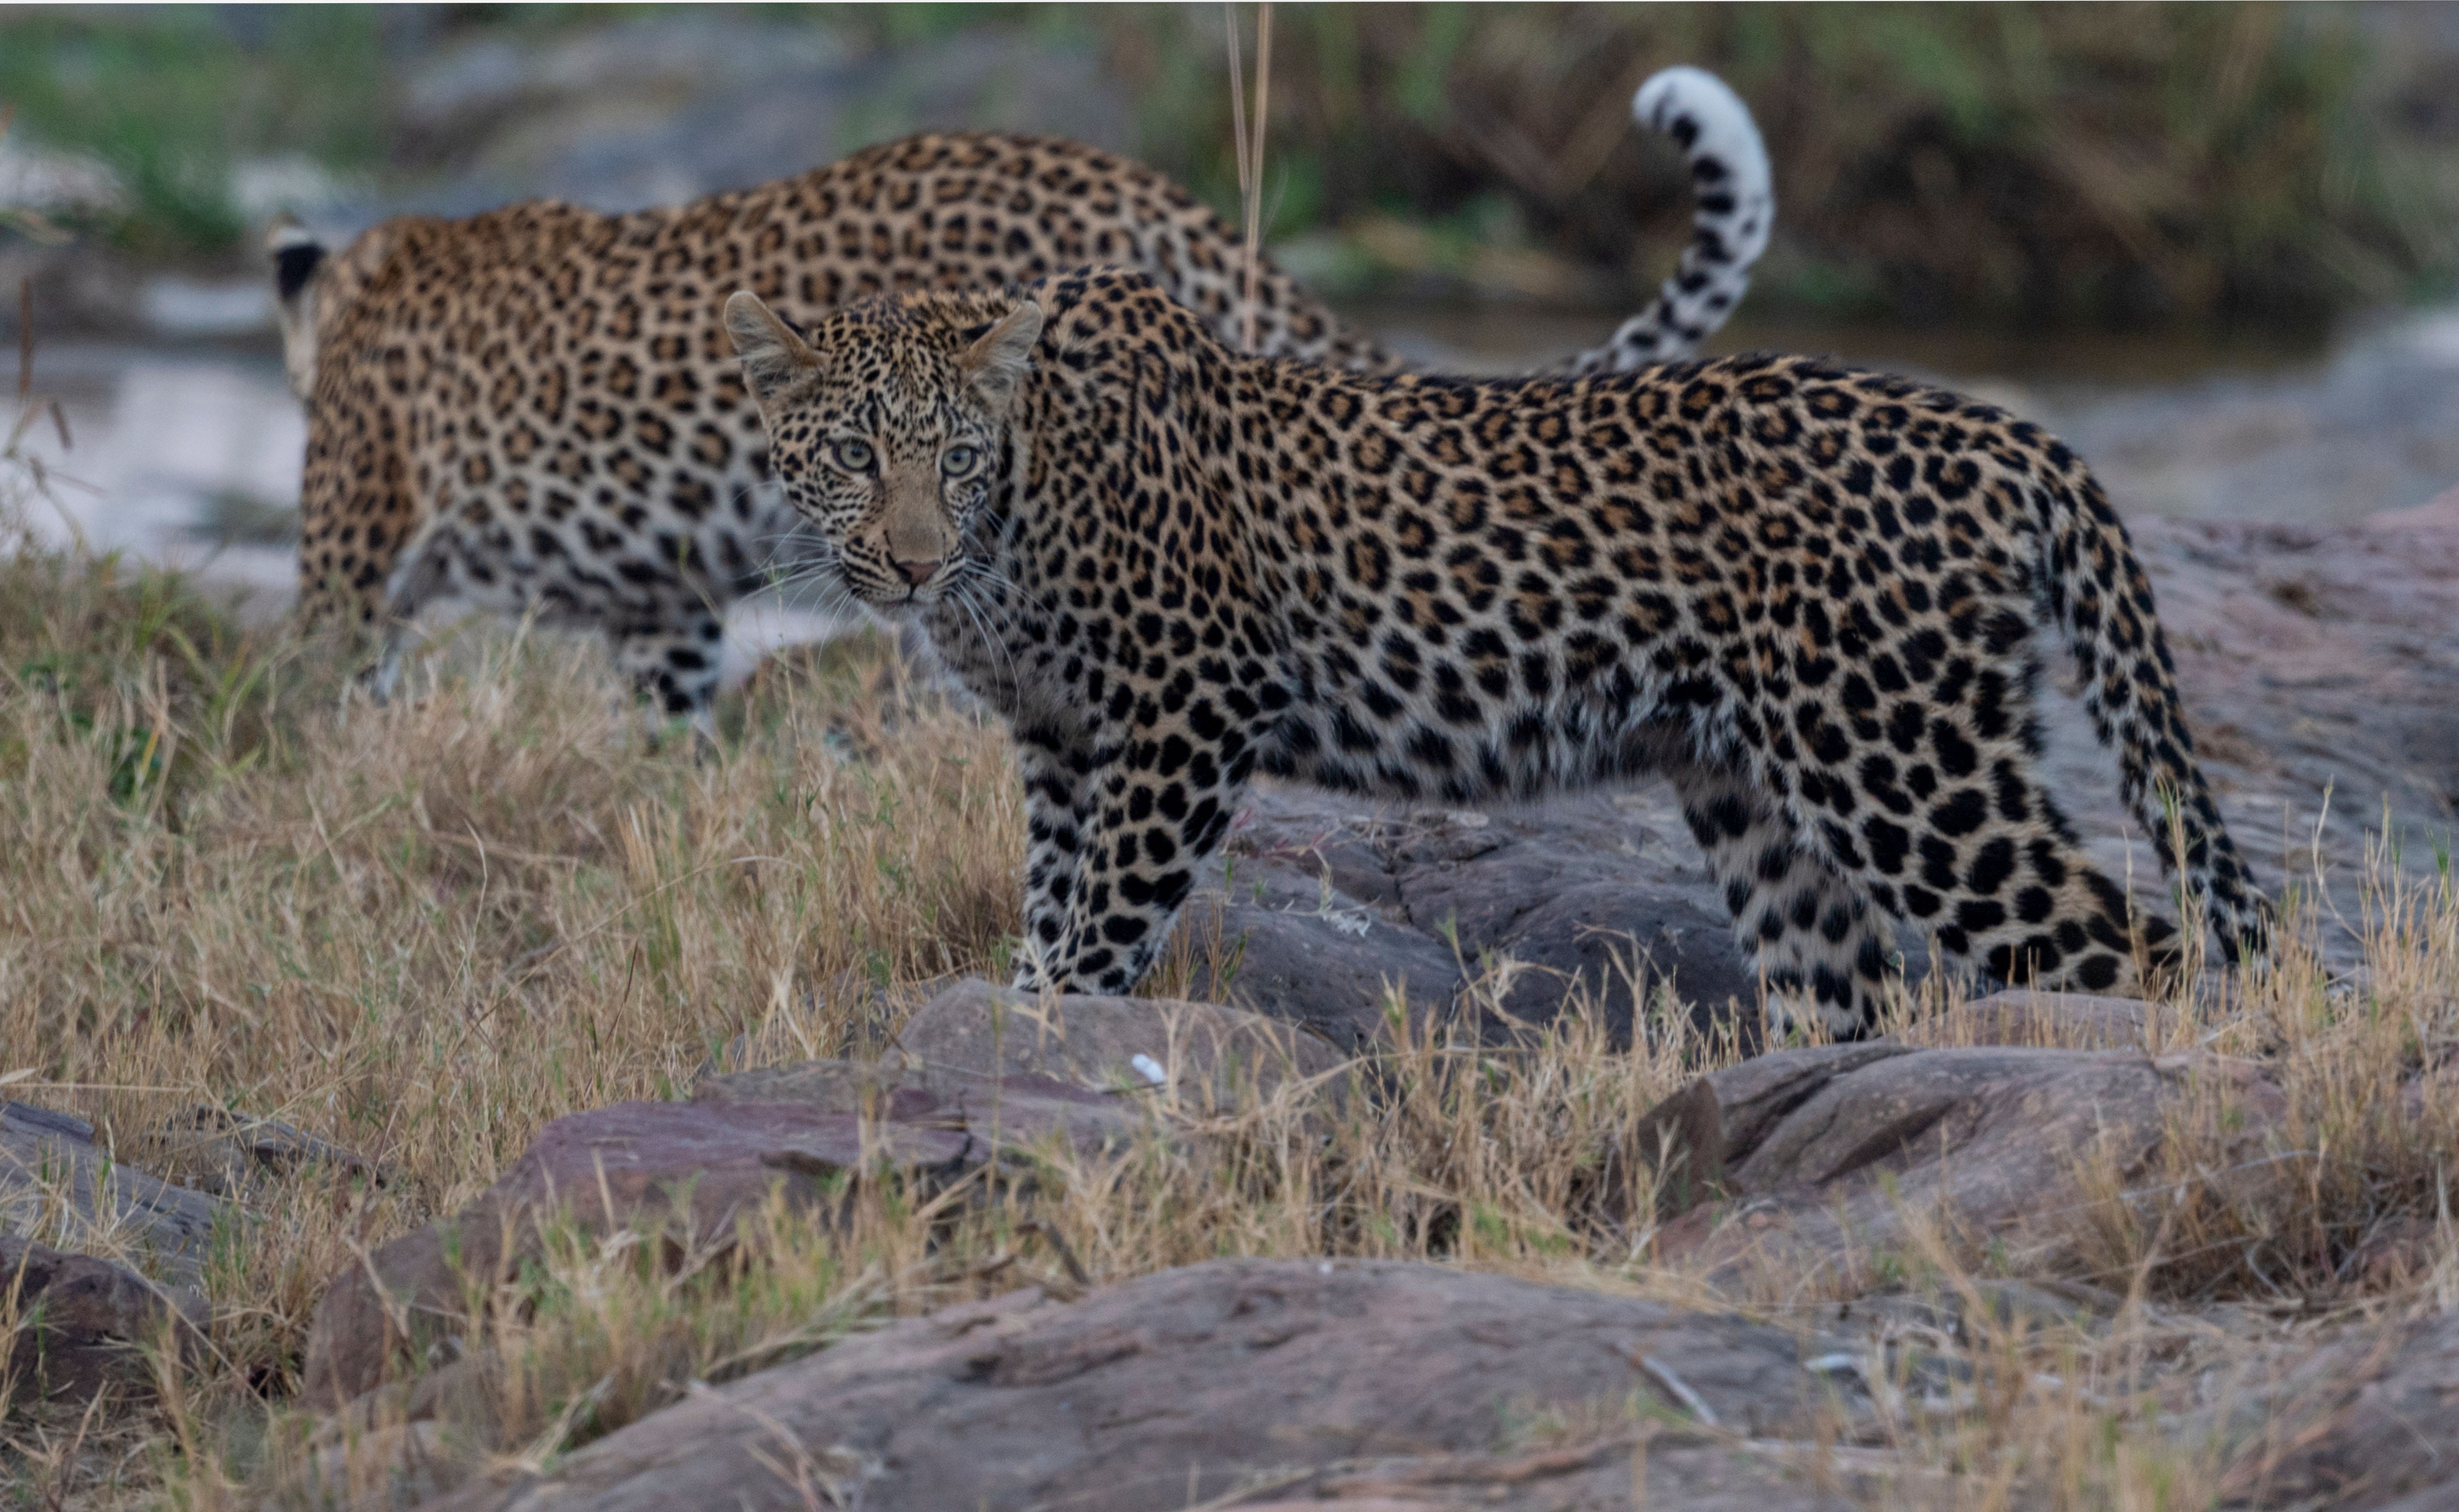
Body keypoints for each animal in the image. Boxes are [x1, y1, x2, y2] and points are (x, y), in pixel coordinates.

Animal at [721, 265, 2273, 1038]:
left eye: (955, 458)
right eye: (856, 457)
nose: (911, 561)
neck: (1020, 516)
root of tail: (2003, 432)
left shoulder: (1187, 708)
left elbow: (1106, 915)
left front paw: (1057, 1030)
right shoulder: (1061, 737)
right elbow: (1054, 897)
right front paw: (1024, 1011)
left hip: (1901, 766)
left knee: (2137, 949)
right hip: (1765, 800)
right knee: (1848, 990)